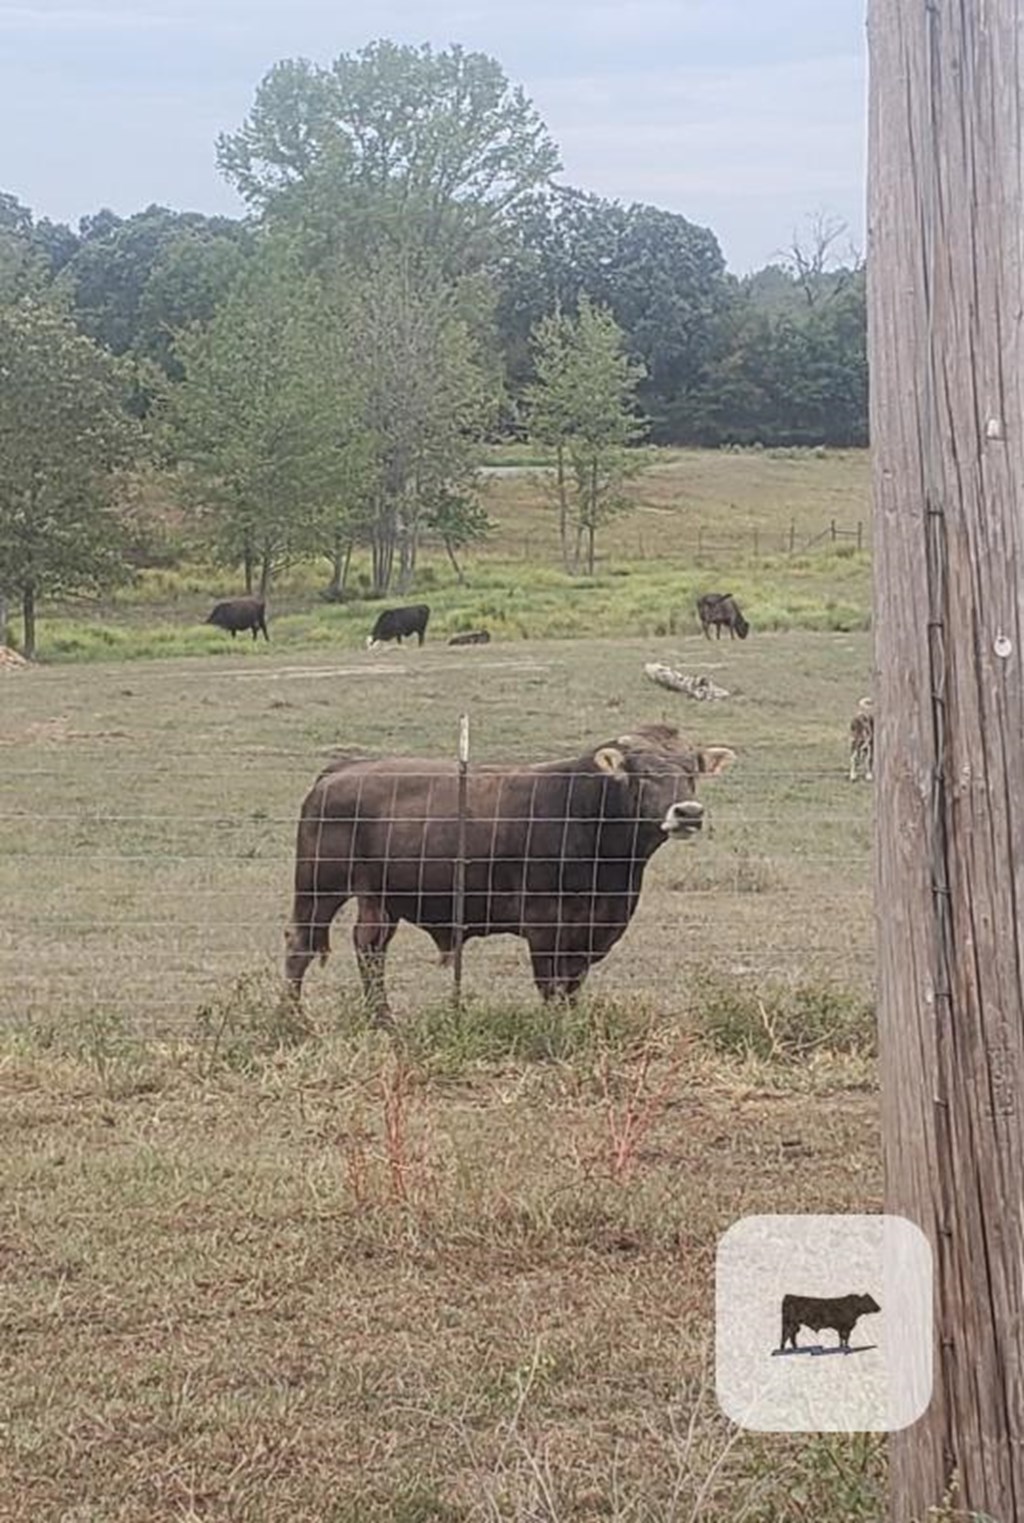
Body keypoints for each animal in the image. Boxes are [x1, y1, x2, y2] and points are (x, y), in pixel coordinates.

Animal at [283, 721, 737, 1023]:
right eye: (641, 773)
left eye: (691, 771)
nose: (688, 813)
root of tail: (342, 771)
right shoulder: (545, 925)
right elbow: (551, 984)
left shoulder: (593, 929)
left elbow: (573, 984)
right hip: (319, 888)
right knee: (300, 945)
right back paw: (297, 1020)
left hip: (380, 898)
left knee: (370, 946)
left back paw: (383, 1020)